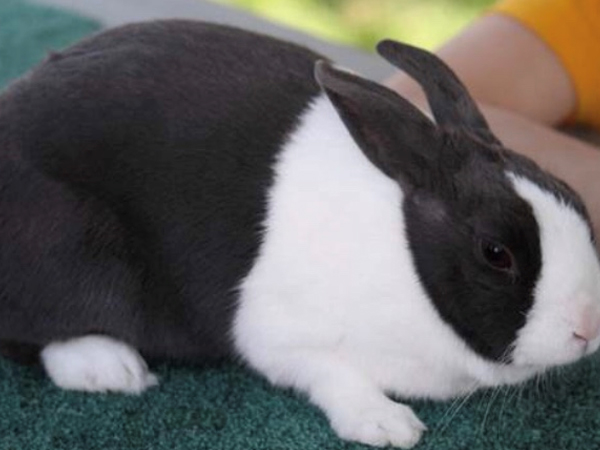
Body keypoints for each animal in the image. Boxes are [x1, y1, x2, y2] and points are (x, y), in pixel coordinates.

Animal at [0, 19, 599, 448]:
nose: (587, 330)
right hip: (70, 254)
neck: (405, 258)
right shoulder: (280, 338)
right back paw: (112, 368)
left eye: (574, 197)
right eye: (495, 253)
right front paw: (386, 425)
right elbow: (333, 376)